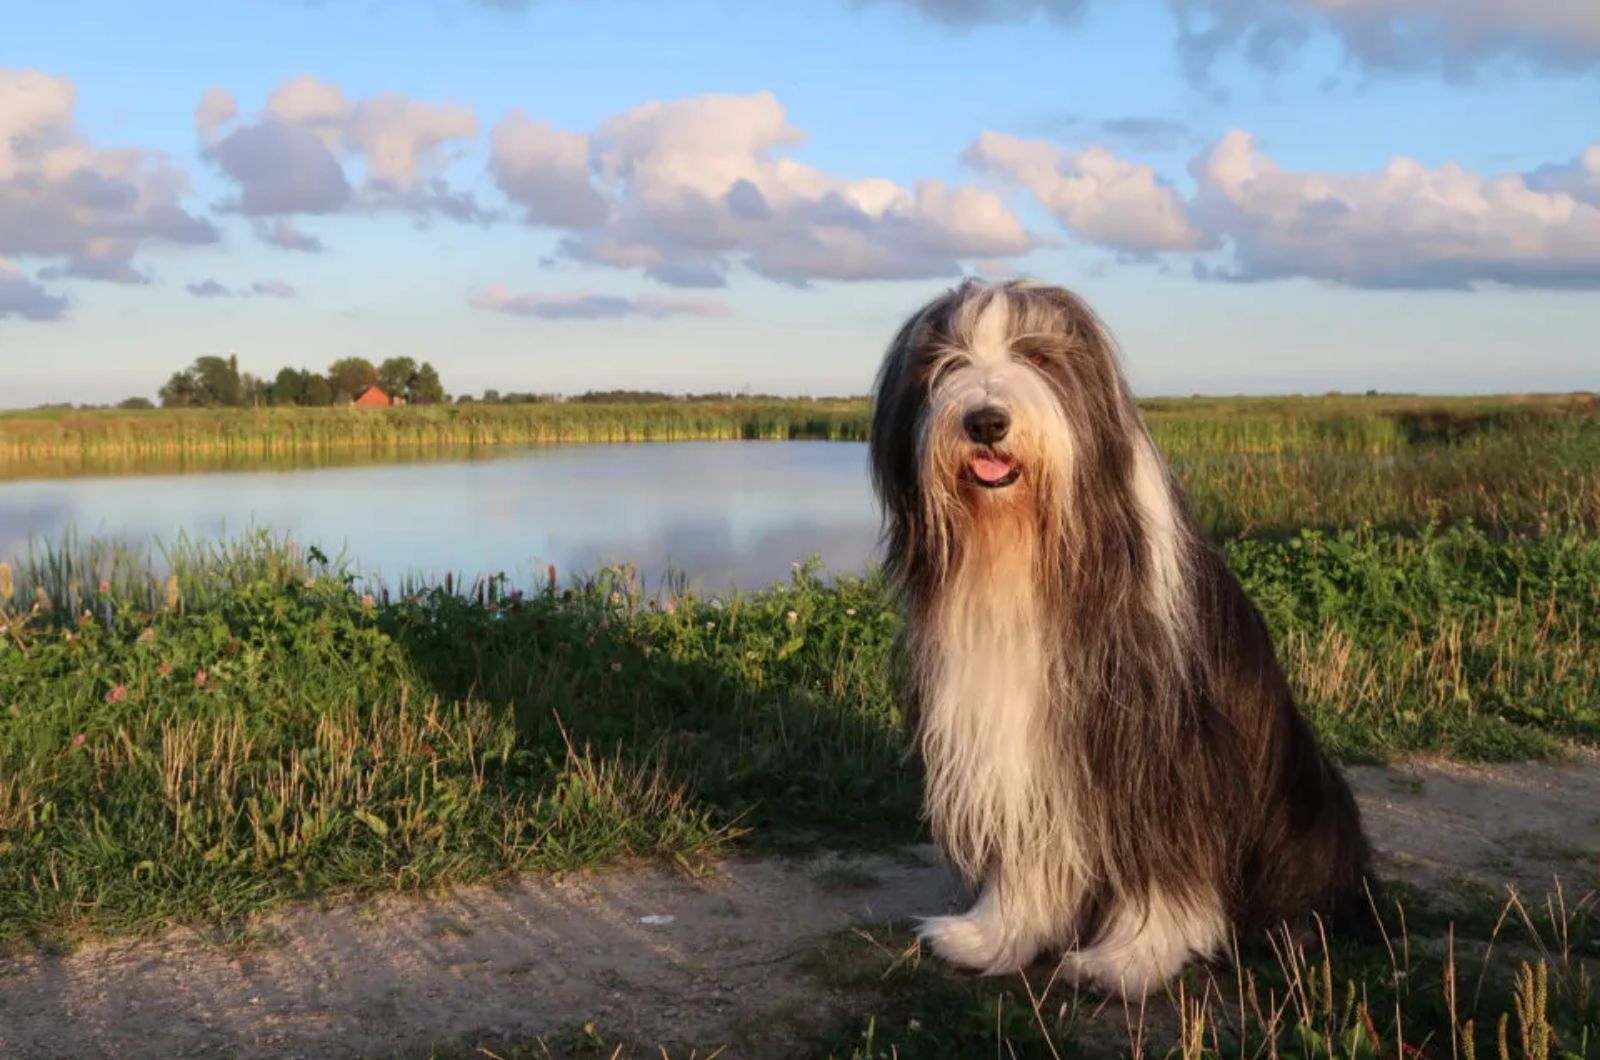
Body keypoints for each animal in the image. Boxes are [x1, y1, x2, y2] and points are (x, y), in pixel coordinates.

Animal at [870, 280, 1369, 999]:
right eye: (945, 363)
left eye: (1040, 357)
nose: (985, 421)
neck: (1031, 554)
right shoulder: (1016, 738)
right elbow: (1027, 850)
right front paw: (993, 935)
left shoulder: (1163, 747)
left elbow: (1166, 859)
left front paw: (1129, 958)